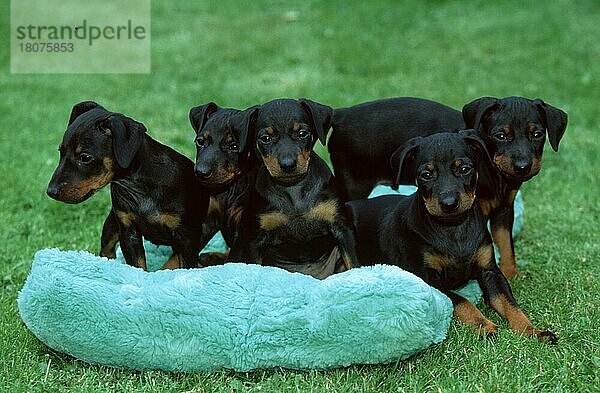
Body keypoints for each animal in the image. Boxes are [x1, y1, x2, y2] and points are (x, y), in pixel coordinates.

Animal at [46, 101, 209, 270]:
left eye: (85, 157)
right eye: (60, 151)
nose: (51, 191)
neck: (138, 187)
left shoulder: (186, 238)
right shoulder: (128, 232)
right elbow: (137, 266)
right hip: (112, 224)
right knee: (107, 250)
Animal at [225, 98, 356, 278]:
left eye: (302, 133)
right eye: (265, 138)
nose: (288, 165)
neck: (293, 188)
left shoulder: (342, 228)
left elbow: (354, 264)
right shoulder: (254, 241)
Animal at [346, 131, 556, 340]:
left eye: (464, 169)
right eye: (426, 175)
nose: (449, 203)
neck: (454, 228)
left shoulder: (490, 271)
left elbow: (509, 302)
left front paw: (531, 330)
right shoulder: (430, 280)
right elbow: (462, 301)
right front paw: (484, 325)